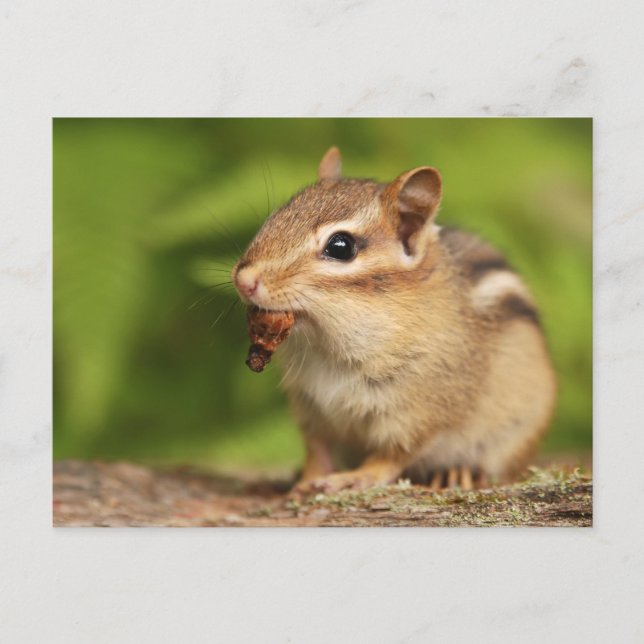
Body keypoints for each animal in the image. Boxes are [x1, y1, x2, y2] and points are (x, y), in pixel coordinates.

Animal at [232, 147, 556, 492]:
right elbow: (317, 450)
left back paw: (459, 472)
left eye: (340, 246)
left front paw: (354, 477)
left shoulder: (420, 411)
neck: (329, 346)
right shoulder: (311, 408)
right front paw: (305, 481)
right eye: (278, 215)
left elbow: (391, 456)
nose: (245, 280)